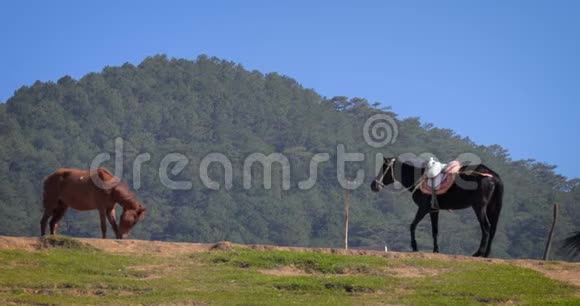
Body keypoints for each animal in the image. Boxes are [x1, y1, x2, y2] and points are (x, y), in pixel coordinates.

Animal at [372, 157, 502, 256]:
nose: (373, 185)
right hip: (491, 207)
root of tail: (493, 176)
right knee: (492, 229)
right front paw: (436, 250)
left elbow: (412, 226)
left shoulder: (423, 208)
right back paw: (486, 254)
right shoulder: (434, 210)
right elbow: (435, 231)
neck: (419, 178)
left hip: (479, 207)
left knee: (486, 227)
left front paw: (415, 247)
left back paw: (479, 253)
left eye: (383, 168)